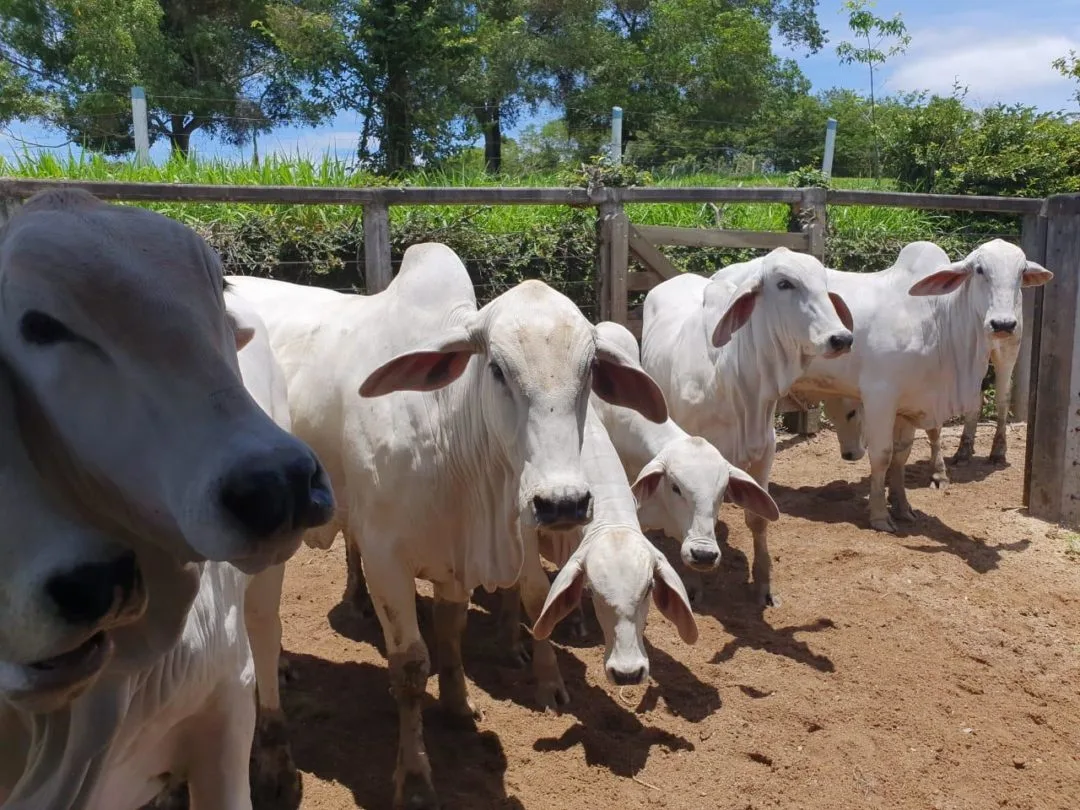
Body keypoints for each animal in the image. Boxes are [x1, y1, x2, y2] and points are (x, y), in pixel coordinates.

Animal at [225, 243, 665, 810]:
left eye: (590, 369)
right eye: (497, 368)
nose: (562, 502)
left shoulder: (457, 559)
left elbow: (451, 630)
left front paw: (457, 705)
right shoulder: (386, 560)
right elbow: (411, 667)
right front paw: (414, 777)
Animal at [639, 249, 851, 609]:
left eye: (824, 284)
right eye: (784, 283)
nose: (842, 338)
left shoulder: (765, 453)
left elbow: (758, 517)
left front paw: (764, 584)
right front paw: (693, 584)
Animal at [790, 239, 1049, 533]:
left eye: (1022, 272)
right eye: (980, 269)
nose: (1003, 323)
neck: (936, 318)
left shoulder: (910, 403)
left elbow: (901, 455)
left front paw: (903, 506)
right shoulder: (881, 396)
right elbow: (882, 454)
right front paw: (880, 515)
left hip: (1008, 351)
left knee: (1000, 397)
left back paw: (993, 451)